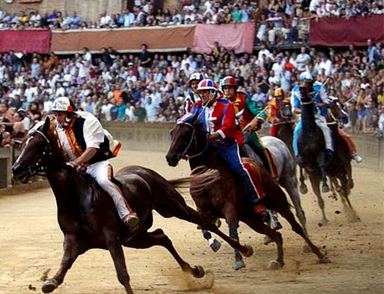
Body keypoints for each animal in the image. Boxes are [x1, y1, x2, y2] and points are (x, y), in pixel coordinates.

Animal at [12, 117, 254, 294]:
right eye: (24, 142)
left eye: (39, 144)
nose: (17, 170)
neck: (76, 198)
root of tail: (144, 172)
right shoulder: (74, 241)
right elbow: (61, 271)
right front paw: (49, 281)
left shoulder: (111, 238)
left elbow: (122, 274)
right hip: (135, 238)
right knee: (162, 236)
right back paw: (194, 270)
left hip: (173, 206)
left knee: (205, 223)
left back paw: (243, 250)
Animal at [166, 120, 330, 272]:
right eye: (172, 133)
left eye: (186, 134)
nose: (170, 157)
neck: (207, 175)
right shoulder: (203, 210)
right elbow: (205, 228)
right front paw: (215, 243)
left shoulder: (229, 209)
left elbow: (232, 233)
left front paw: (239, 260)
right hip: (251, 218)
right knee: (276, 235)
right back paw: (278, 260)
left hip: (279, 197)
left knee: (296, 224)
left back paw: (318, 253)